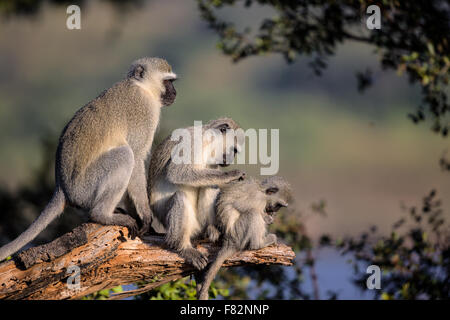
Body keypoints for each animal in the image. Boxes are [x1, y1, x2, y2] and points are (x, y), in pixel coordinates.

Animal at [0, 57, 177, 262]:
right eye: (168, 81)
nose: (175, 92)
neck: (142, 87)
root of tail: (61, 187)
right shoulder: (143, 112)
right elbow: (137, 157)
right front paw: (146, 217)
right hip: (86, 187)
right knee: (125, 155)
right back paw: (103, 215)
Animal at [149, 118, 244, 270]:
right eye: (234, 150)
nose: (230, 160)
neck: (207, 143)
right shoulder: (191, 143)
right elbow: (177, 173)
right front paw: (231, 175)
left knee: (210, 186)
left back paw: (210, 229)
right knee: (180, 197)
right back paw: (182, 246)